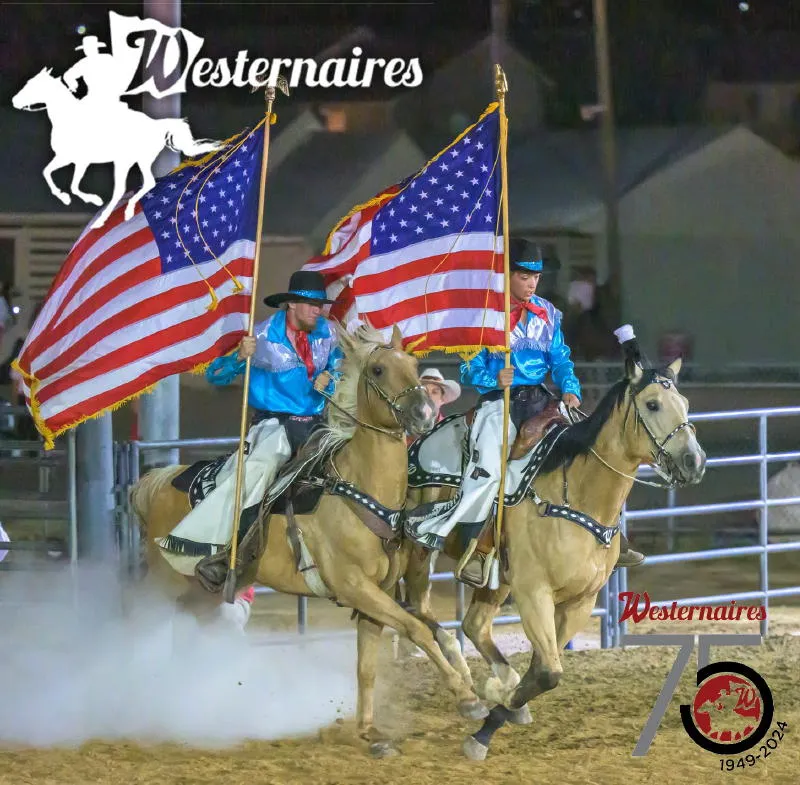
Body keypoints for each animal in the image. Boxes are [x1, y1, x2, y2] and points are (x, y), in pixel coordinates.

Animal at [128, 324, 488, 752]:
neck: (361, 488)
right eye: (378, 369)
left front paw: (370, 734)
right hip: (162, 582)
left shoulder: (376, 595)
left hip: (202, 592)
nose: (424, 413)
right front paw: (467, 698)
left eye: (414, 366)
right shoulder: (354, 586)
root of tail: (161, 480)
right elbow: (416, 630)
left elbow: (367, 664)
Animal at [404, 346, 704, 756]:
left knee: (474, 624)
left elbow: (542, 668)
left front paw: (501, 711)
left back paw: (497, 680)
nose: (695, 461)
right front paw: (493, 712)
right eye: (653, 403)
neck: (577, 497)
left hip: (496, 576)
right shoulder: (534, 593)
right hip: (417, 552)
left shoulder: (580, 601)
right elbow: (548, 672)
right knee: (420, 611)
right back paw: (467, 687)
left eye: (685, 402)